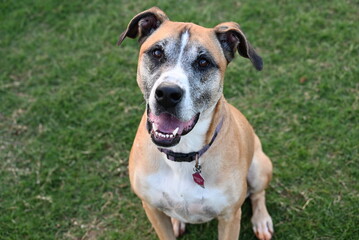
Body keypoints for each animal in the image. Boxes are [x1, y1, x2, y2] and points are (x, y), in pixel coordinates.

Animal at [119, 6, 274, 239]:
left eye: (203, 62)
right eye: (157, 53)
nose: (167, 94)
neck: (182, 154)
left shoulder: (230, 217)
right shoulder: (152, 208)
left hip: (259, 167)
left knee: (258, 194)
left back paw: (261, 220)